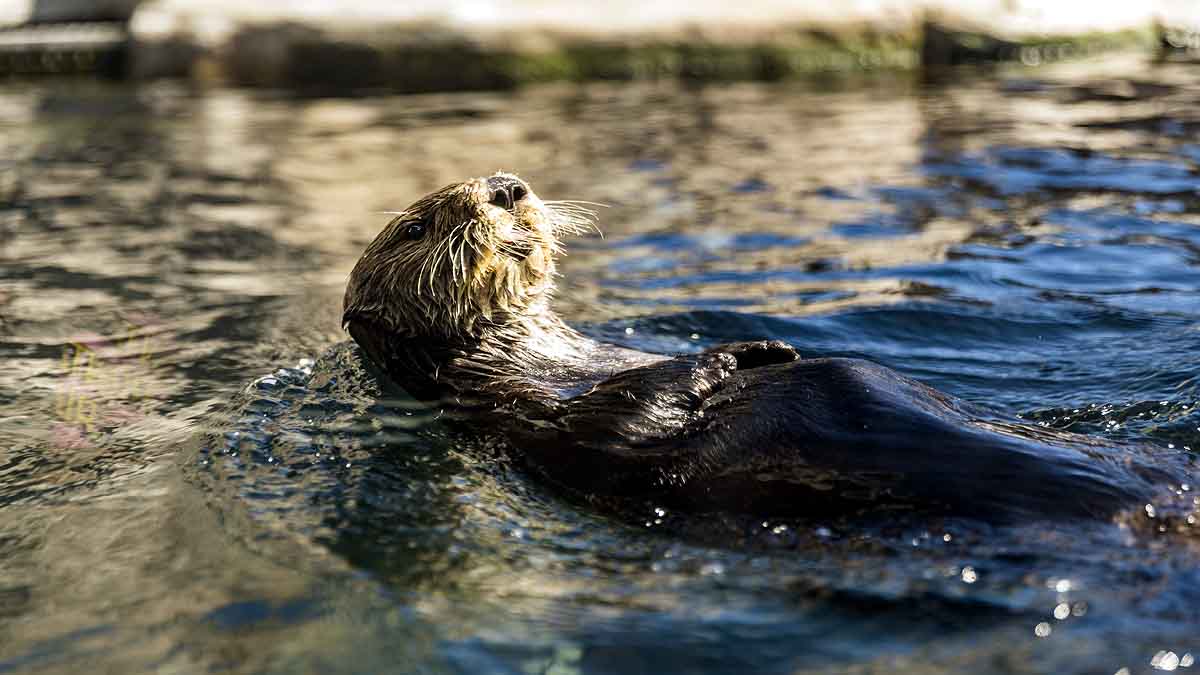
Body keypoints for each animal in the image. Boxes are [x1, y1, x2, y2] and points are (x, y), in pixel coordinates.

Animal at [343, 172, 1179, 523]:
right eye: (415, 226)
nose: (507, 186)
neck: (551, 354)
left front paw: (764, 345)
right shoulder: (514, 416)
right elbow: (616, 426)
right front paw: (718, 360)